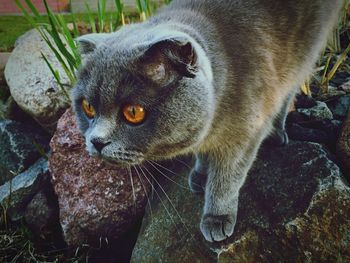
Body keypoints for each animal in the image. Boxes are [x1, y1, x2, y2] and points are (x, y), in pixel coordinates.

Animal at [71, 0, 342, 243]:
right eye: (88, 107)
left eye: (133, 112)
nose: (96, 141)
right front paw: (201, 174)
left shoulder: (244, 133)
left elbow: (227, 177)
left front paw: (216, 217)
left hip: (306, 52)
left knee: (289, 90)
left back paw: (276, 132)